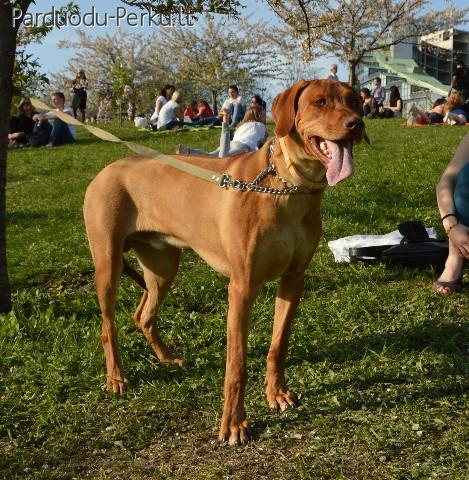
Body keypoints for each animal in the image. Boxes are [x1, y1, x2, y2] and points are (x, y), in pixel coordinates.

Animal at [83, 79, 362, 446]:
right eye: (320, 102)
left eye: (354, 101)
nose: (358, 124)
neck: (288, 188)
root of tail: (105, 170)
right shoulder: (242, 287)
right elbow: (237, 364)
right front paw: (234, 423)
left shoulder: (294, 279)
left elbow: (278, 345)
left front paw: (277, 394)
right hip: (108, 264)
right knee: (107, 325)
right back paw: (116, 377)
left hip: (163, 266)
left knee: (143, 314)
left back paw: (167, 358)